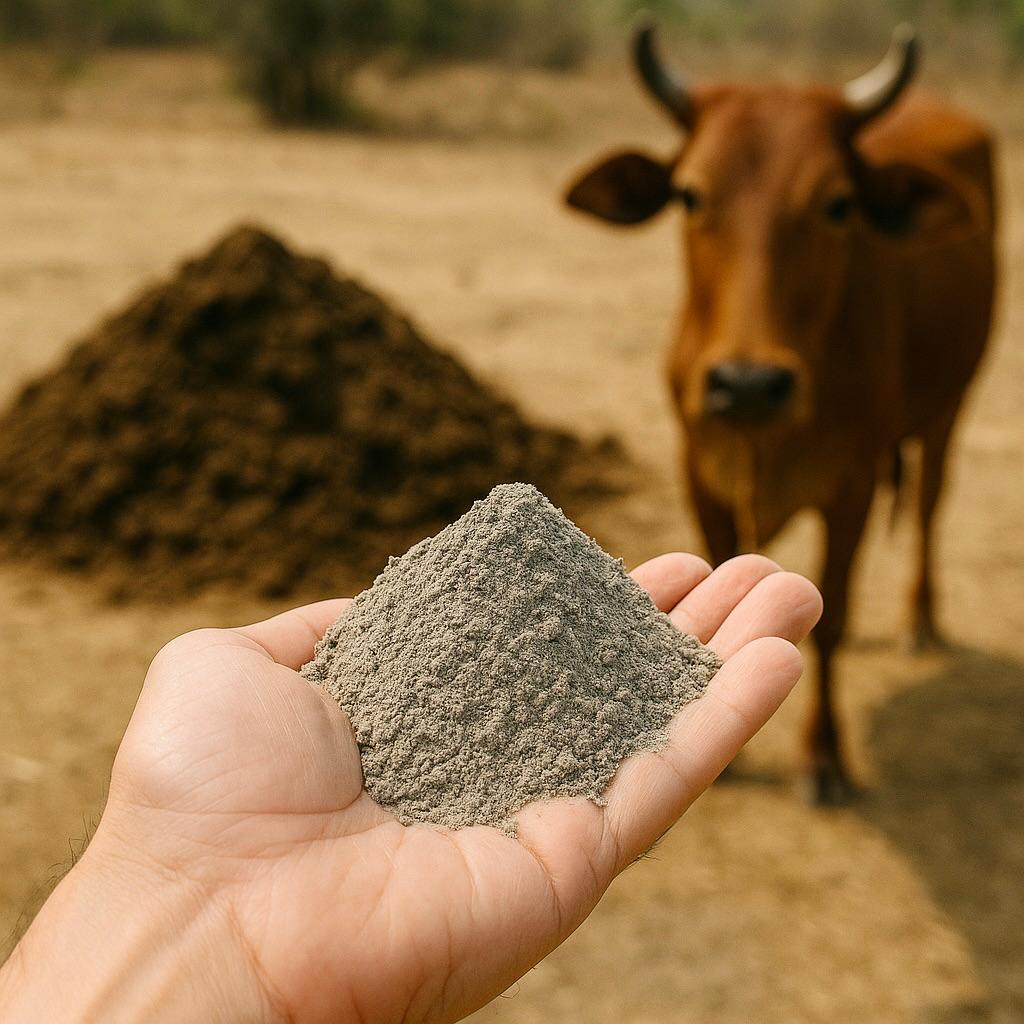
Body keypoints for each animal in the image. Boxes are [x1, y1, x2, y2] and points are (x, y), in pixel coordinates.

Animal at [565, 22, 996, 803]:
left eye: (838, 203)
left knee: (927, 506)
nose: (747, 384)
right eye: (689, 194)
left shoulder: (853, 486)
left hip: (951, 405)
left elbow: (831, 622)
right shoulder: (698, 470)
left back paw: (920, 619)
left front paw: (822, 758)